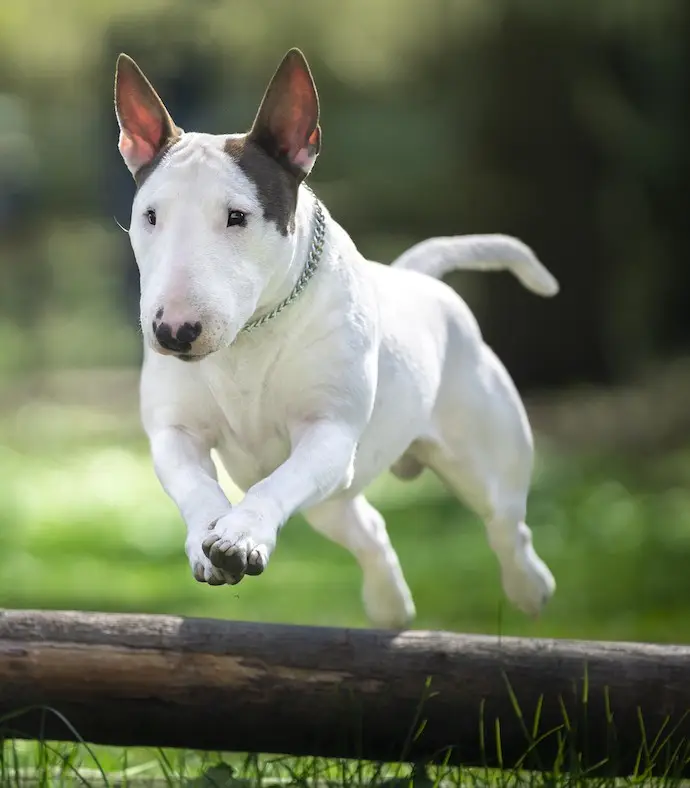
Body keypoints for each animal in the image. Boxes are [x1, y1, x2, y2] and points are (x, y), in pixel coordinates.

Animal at [113, 47, 556, 628]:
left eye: (237, 216)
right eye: (150, 216)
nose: (173, 331)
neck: (250, 337)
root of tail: (422, 280)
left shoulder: (329, 432)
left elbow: (275, 482)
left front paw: (241, 534)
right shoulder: (174, 433)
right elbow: (196, 485)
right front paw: (208, 538)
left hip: (481, 460)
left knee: (508, 526)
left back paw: (530, 588)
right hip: (333, 500)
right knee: (369, 530)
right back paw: (390, 606)